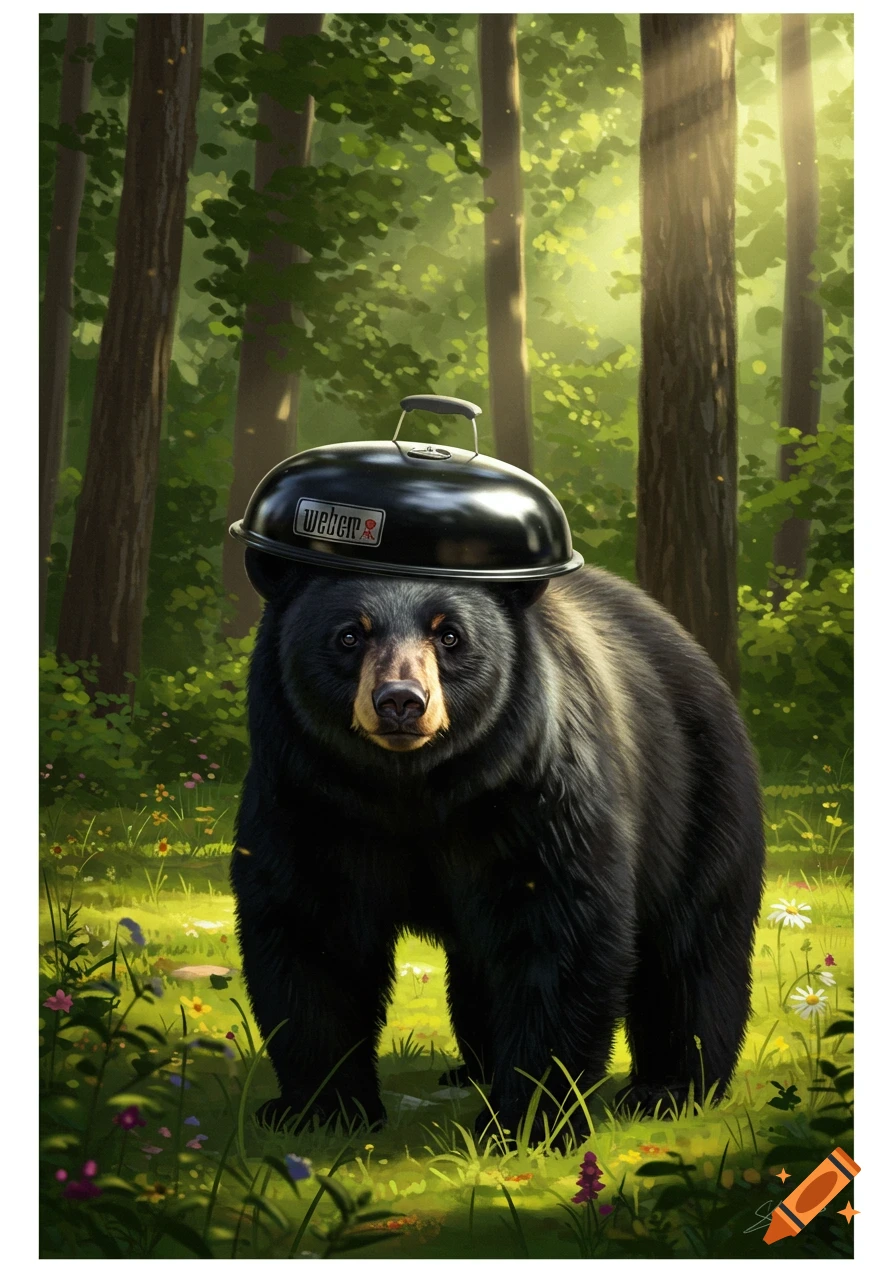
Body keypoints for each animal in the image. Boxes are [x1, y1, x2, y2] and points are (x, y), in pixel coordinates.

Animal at [231, 548, 765, 1141]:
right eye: (349, 635)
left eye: (450, 636)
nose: (401, 702)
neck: (410, 789)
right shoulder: (307, 799)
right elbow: (310, 933)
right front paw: (323, 1110)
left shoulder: (538, 795)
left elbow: (558, 933)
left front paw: (527, 1120)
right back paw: (474, 1070)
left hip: (699, 795)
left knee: (690, 944)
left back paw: (670, 1088)